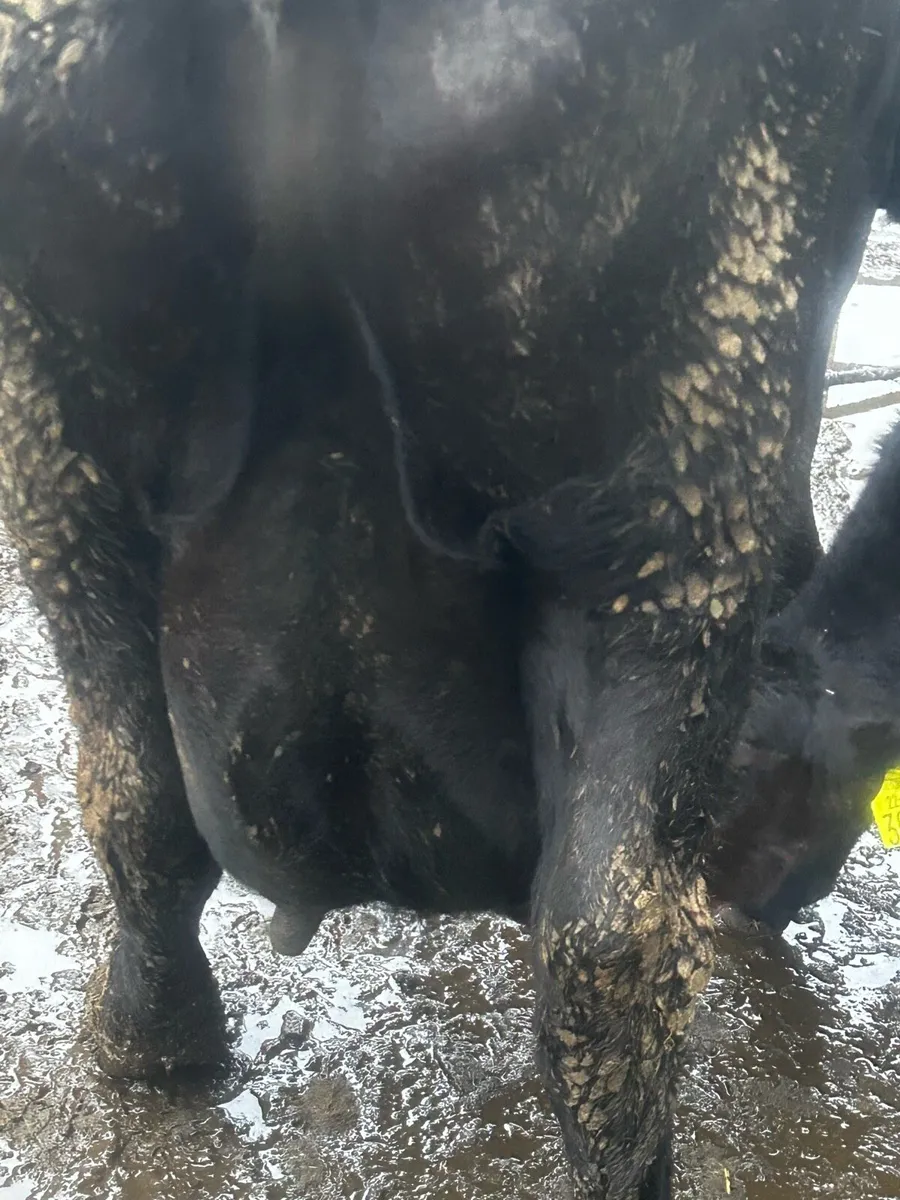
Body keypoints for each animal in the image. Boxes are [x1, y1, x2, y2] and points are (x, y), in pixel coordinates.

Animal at [1, 1, 900, 1197]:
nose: (758, 902)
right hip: (685, 471)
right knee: (612, 938)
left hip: (59, 465)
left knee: (134, 805)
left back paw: (147, 1051)